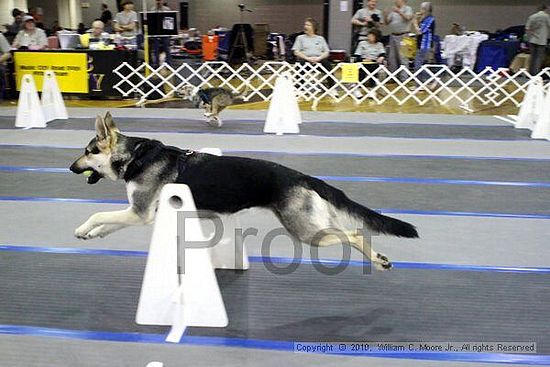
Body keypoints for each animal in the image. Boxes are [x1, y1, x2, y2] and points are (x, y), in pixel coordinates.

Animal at [71, 112, 420, 270]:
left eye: (87, 152)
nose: (70, 168)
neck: (134, 156)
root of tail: (303, 176)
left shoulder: (139, 213)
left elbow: (98, 213)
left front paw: (82, 228)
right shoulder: (136, 213)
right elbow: (108, 223)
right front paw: (92, 234)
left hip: (307, 233)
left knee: (355, 235)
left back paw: (377, 260)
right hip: (315, 225)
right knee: (351, 232)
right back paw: (379, 259)